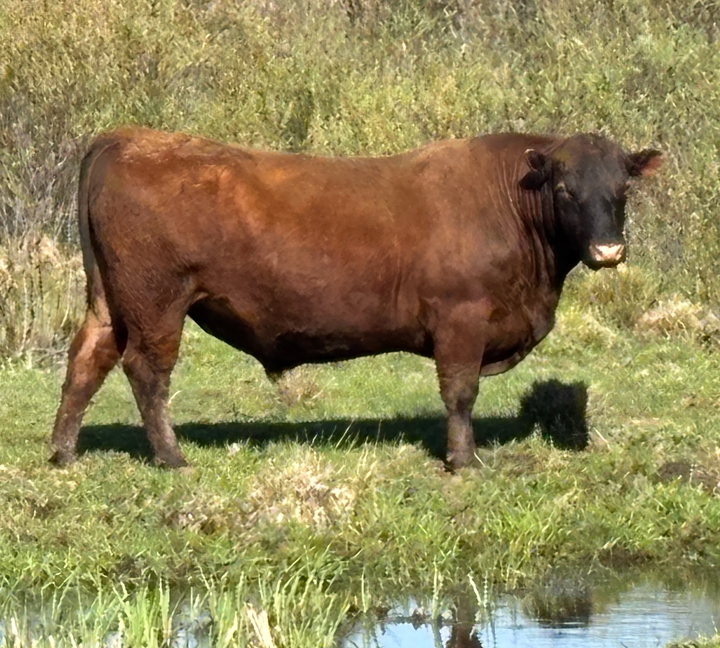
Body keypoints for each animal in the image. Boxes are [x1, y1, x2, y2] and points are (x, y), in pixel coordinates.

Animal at [49, 129, 662, 470]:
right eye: (564, 188)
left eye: (622, 189)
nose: (608, 249)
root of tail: (129, 135)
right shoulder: (460, 319)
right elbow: (460, 394)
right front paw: (463, 460)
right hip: (157, 301)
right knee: (146, 372)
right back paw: (172, 457)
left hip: (110, 299)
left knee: (86, 361)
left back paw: (63, 452)